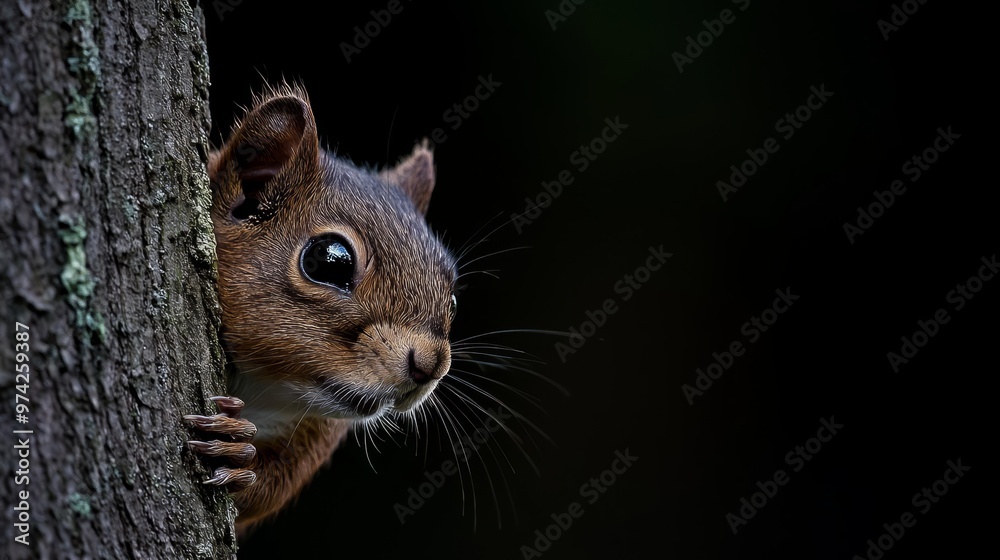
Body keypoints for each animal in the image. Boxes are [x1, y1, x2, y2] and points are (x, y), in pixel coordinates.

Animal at [183, 84, 457, 531]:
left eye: (452, 297)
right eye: (329, 261)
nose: (430, 367)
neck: (261, 386)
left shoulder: (317, 429)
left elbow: (273, 487)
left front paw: (240, 461)